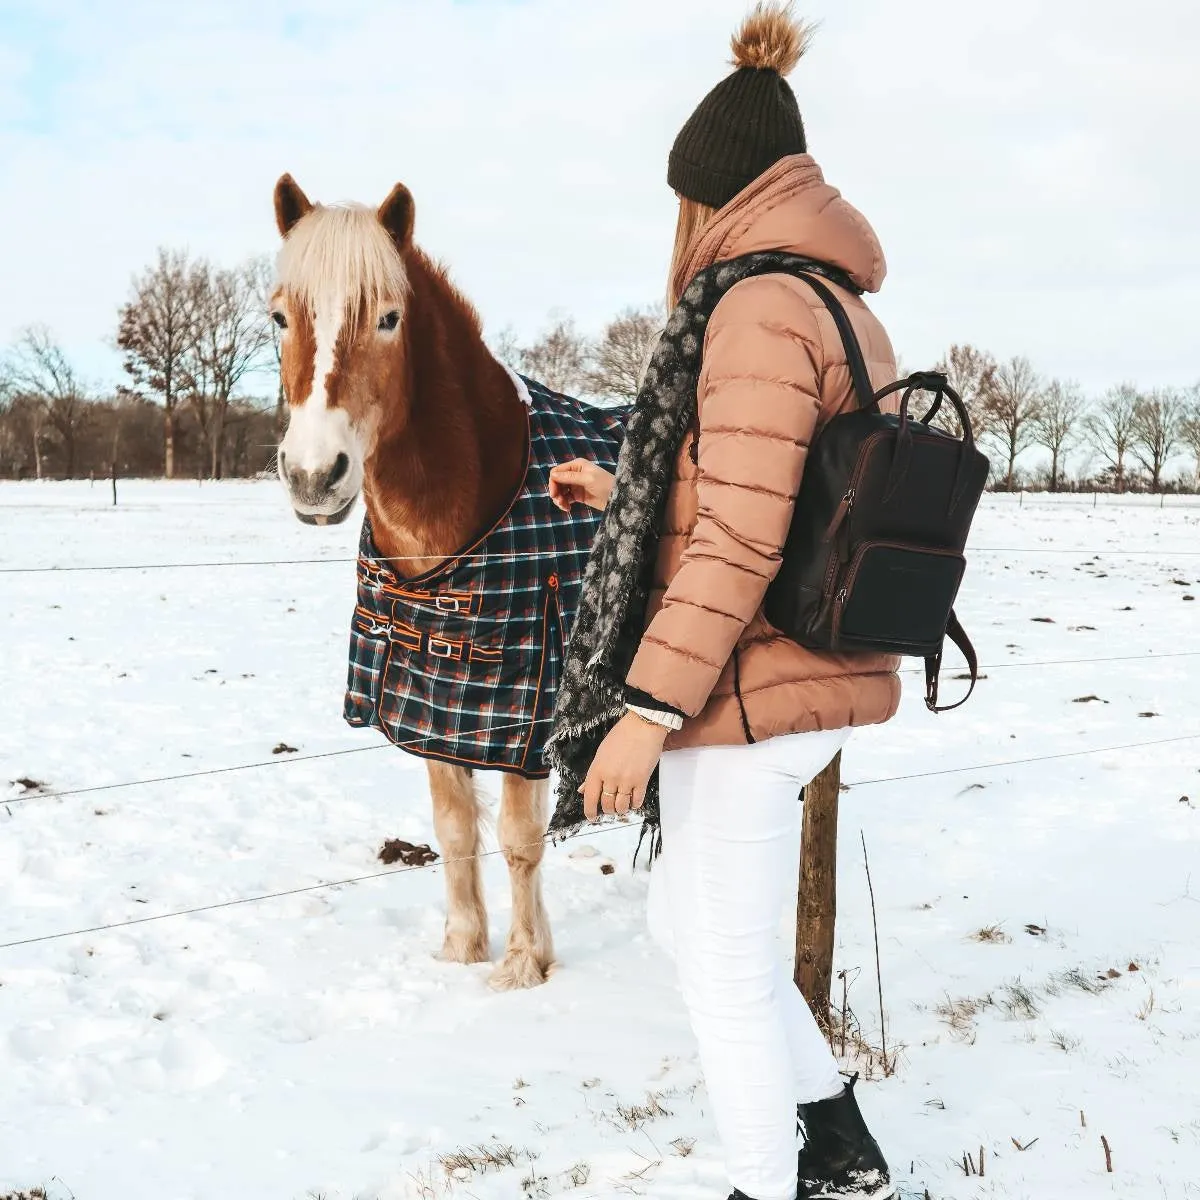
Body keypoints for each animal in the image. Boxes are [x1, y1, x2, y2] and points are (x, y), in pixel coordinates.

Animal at [268, 174, 624, 988]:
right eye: (278, 316)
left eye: (389, 318)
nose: (313, 477)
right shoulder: (436, 701)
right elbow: (455, 827)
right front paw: (462, 946)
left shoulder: (523, 718)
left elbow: (519, 837)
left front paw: (523, 964)